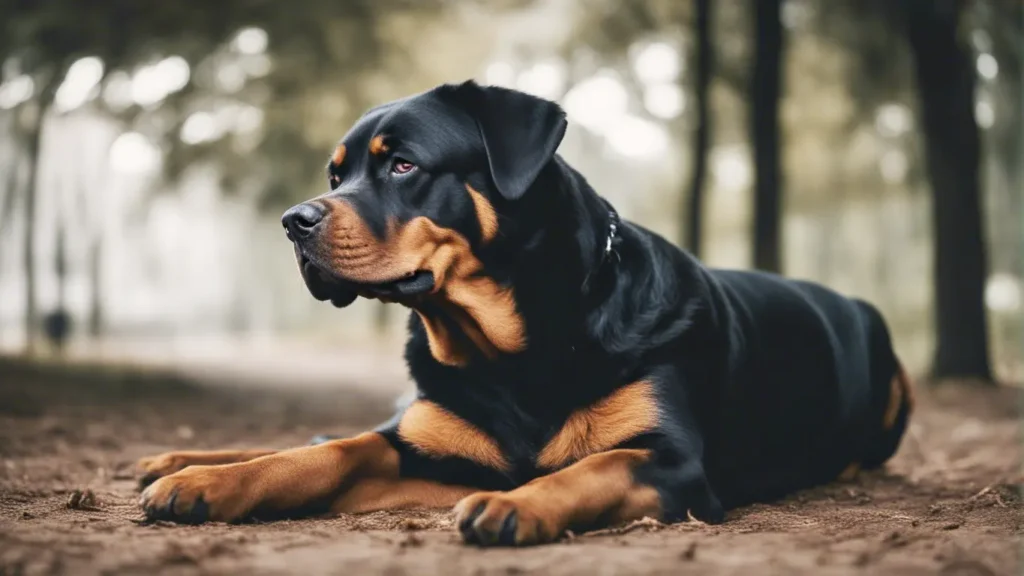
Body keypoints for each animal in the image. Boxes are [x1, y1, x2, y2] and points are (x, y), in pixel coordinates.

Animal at [136, 79, 913, 541]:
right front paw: (209, 481)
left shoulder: (678, 463)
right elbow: (331, 452)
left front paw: (517, 503)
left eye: (402, 165)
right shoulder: (421, 443)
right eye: (336, 174)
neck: (508, 352)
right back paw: (173, 460)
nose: (294, 221)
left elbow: (593, 466)